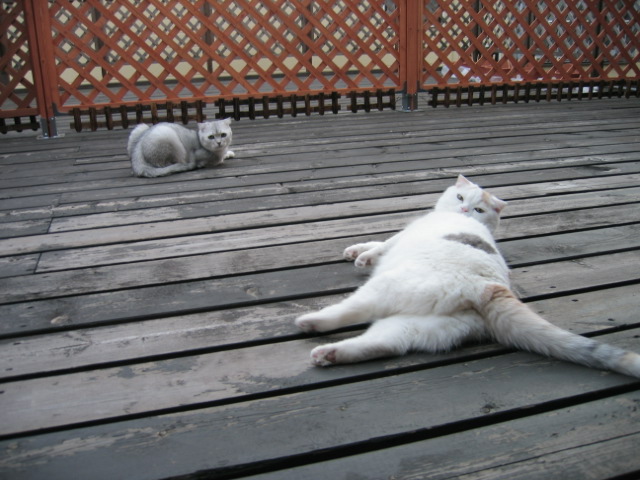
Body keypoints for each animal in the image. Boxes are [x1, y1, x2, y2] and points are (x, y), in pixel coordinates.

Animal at [295, 175, 640, 379]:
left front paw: (363, 256)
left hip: (389, 287)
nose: (463, 211)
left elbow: (382, 244)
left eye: (478, 209)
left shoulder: (403, 236)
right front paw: (356, 250)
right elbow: (377, 242)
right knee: (386, 344)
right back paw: (329, 354)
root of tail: (489, 287)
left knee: (352, 310)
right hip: (422, 326)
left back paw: (311, 322)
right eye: (462, 200)